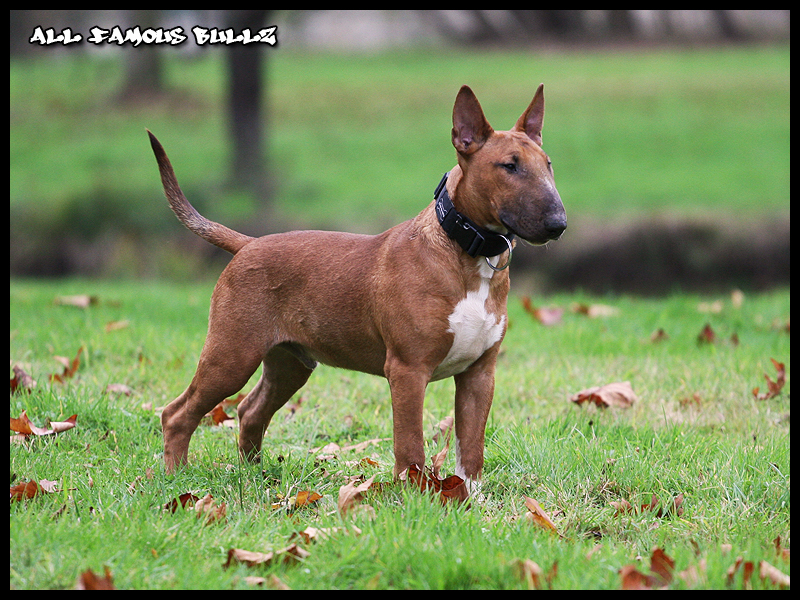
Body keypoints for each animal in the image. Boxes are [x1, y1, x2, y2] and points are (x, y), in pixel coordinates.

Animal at [148, 84, 564, 492]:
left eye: (548, 164)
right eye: (509, 166)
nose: (558, 224)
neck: (466, 251)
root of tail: (248, 243)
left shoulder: (480, 374)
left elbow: (472, 447)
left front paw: (470, 498)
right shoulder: (408, 370)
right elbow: (410, 444)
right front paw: (414, 494)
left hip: (289, 363)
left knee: (250, 410)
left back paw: (254, 478)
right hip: (231, 355)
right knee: (177, 412)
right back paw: (176, 478)